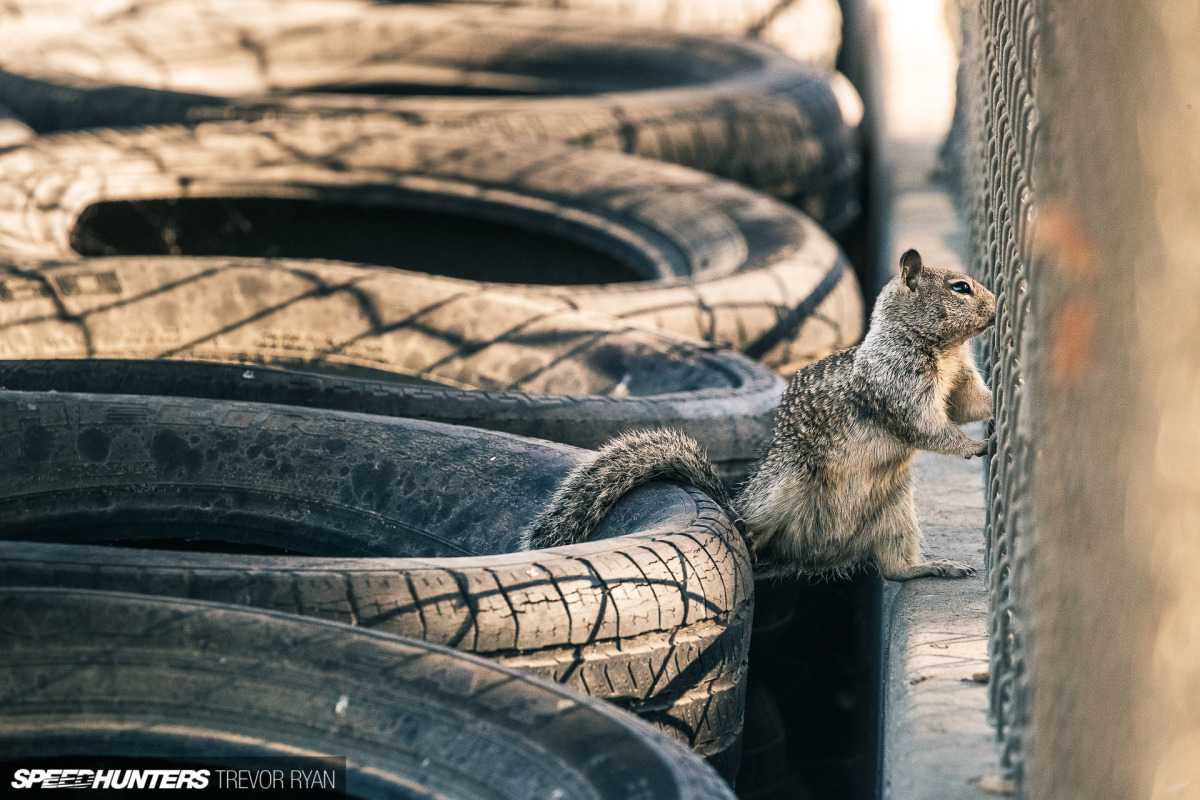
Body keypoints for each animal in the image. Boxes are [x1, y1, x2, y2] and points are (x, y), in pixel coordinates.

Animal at [520, 250, 998, 582]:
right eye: (959, 288)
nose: (997, 308)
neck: (941, 349)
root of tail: (814, 556)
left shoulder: (958, 380)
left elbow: (967, 405)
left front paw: (1001, 402)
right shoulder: (895, 385)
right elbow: (926, 426)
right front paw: (976, 444)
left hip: (895, 513)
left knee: (894, 568)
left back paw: (934, 566)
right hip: (784, 482)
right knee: (753, 526)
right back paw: (746, 534)